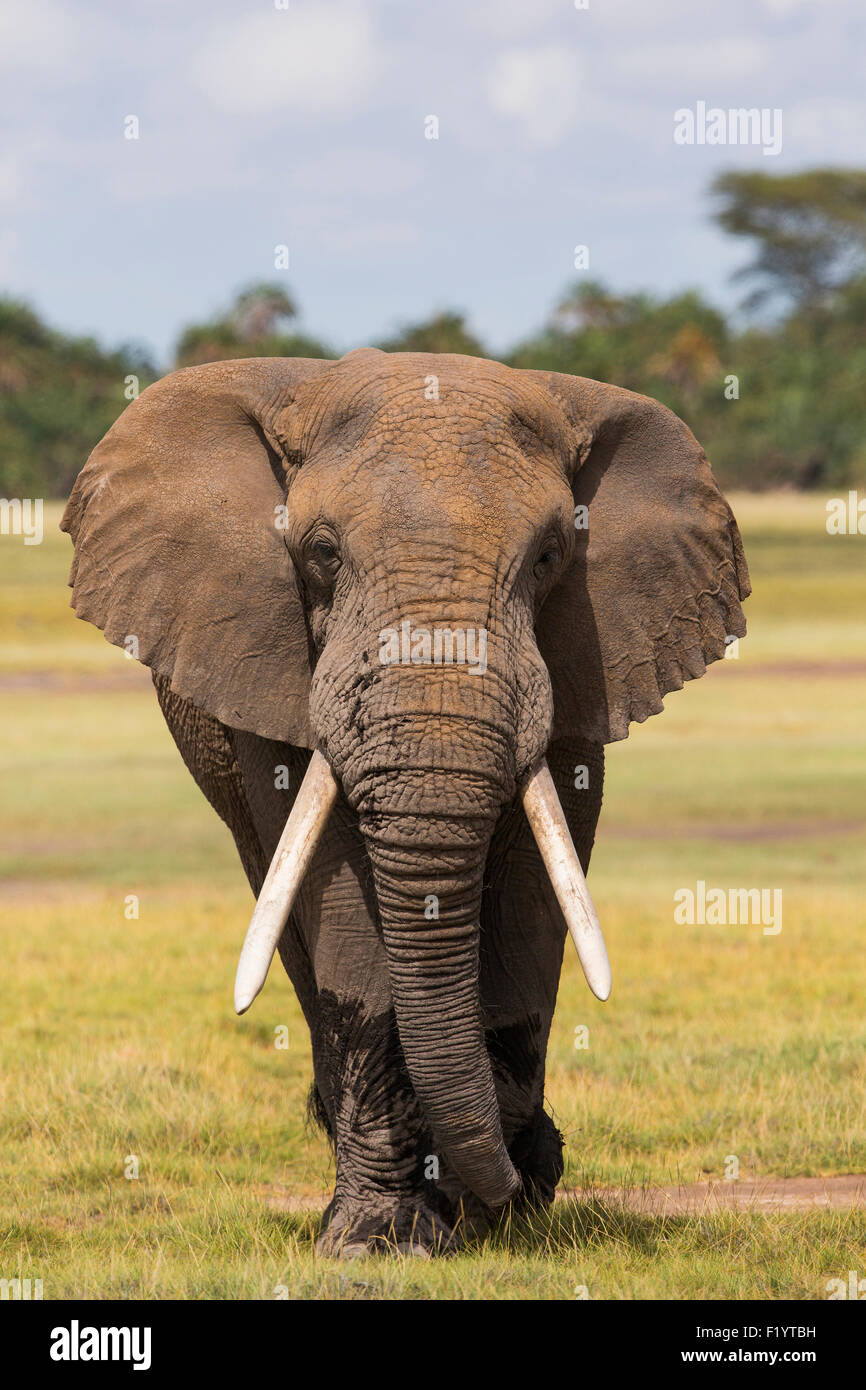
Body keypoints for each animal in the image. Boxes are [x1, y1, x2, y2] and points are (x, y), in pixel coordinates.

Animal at [62, 341, 750, 1256]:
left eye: (548, 558)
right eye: (321, 551)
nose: (512, 1179)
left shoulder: (583, 667)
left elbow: (532, 893)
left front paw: (501, 1202)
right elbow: (346, 912)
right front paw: (380, 1237)